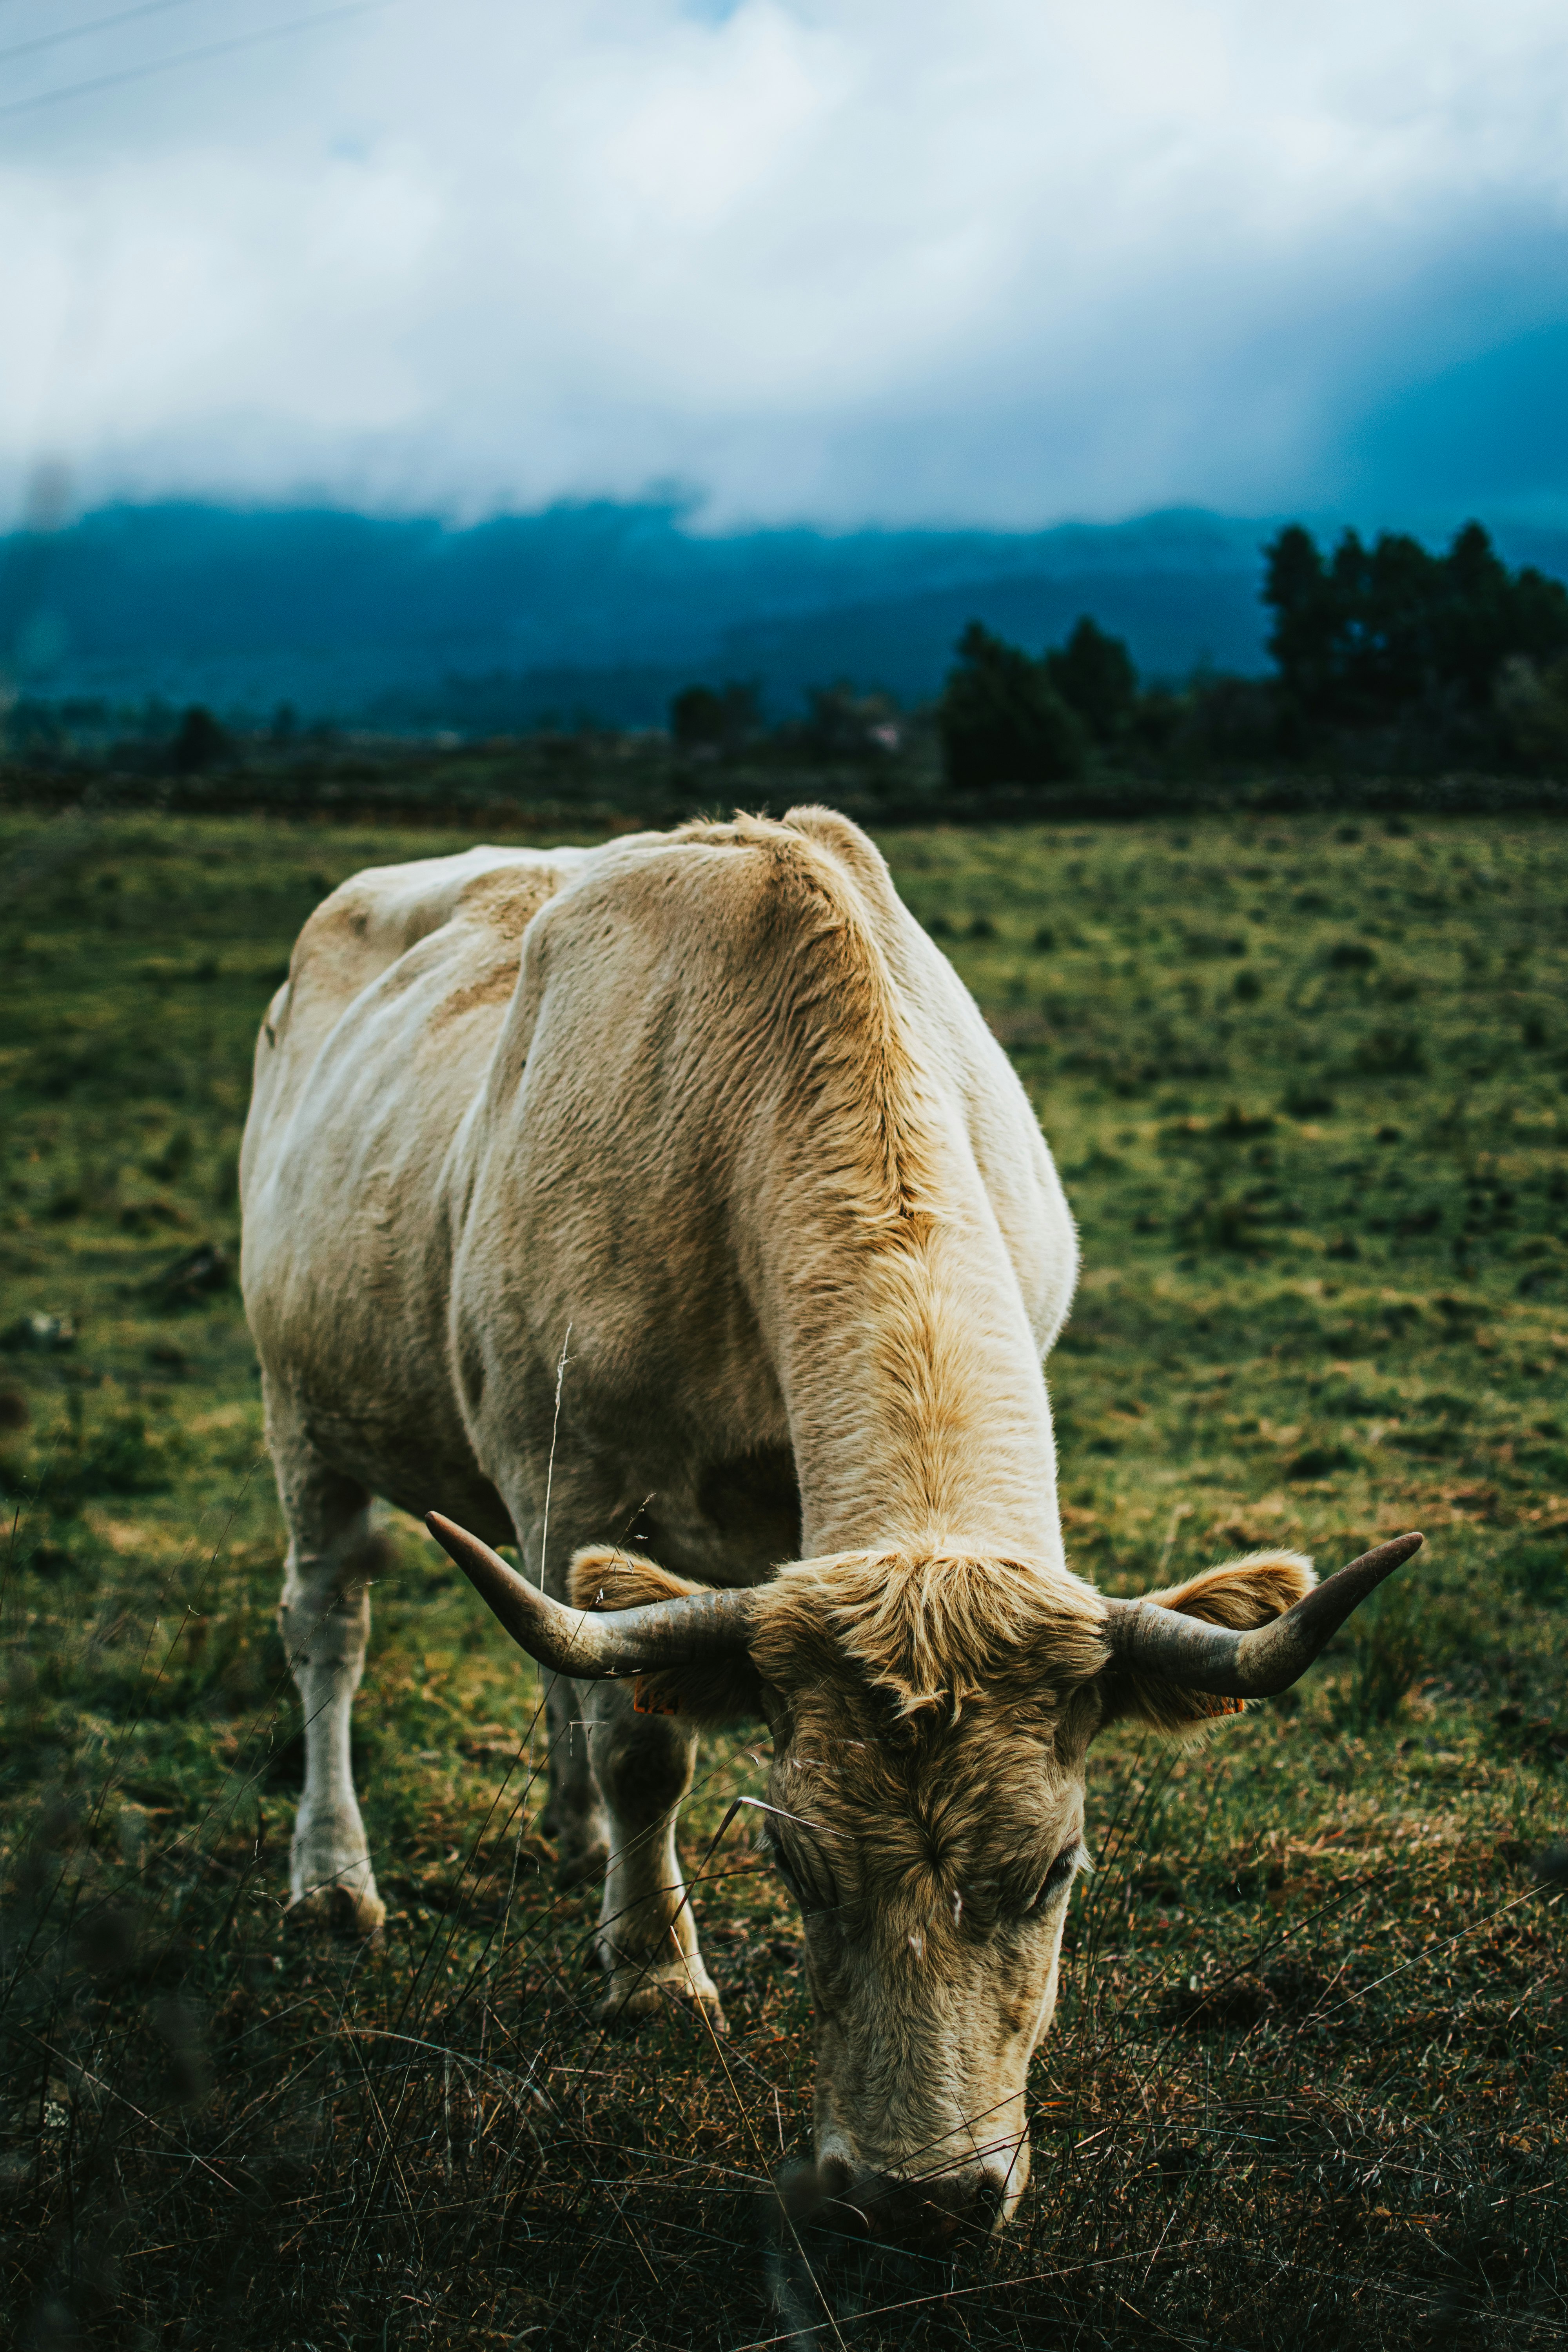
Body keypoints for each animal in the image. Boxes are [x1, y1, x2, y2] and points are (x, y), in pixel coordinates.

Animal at [242, 809, 1420, 2239]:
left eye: (1058, 1869)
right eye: (795, 1867)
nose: (922, 2199)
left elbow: (610, 1683)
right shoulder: (568, 1475)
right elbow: (648, 1750)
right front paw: (654, 1974)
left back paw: (570, 1834)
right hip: (306, 1414)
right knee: (332, 1627)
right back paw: (334, 1882)